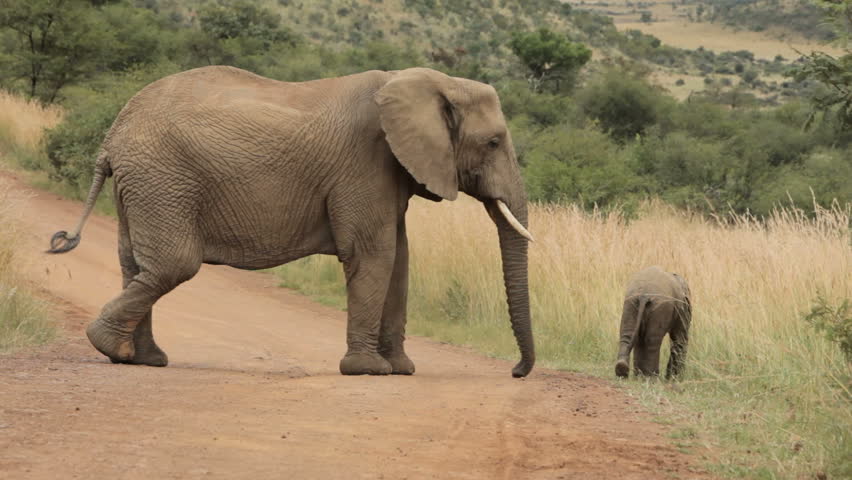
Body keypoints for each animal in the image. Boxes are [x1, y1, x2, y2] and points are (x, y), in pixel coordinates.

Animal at [46, 66, 536, 377]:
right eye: (494, 143)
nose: (515, 371)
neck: (431, 82)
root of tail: (111, 137)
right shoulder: (364, 164)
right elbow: (373, 254)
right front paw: (368, 371)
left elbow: (399, 258)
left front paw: (401, 370)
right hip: (162, 180)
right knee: (173, 264)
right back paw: (110, 346)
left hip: (144, 185)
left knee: (137, 265)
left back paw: (140, 358)